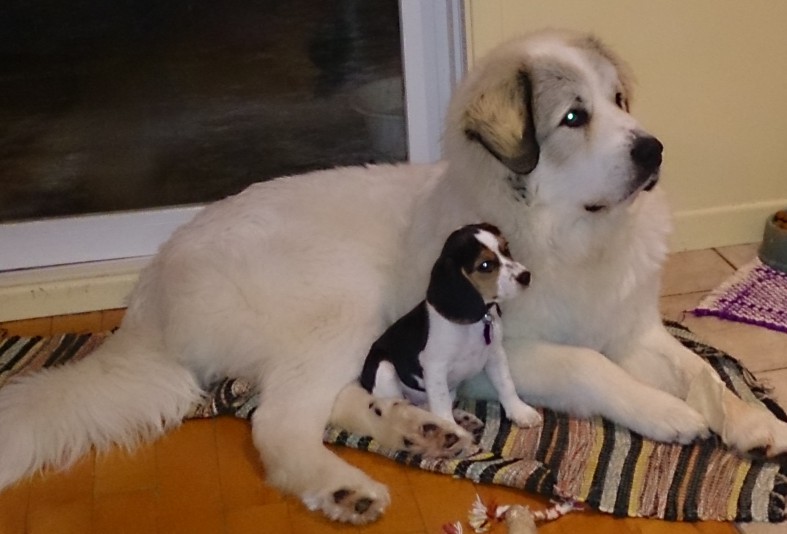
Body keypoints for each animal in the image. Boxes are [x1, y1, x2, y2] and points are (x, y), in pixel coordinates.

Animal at [362, 222, 540, 436]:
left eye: (506, 248)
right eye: (485, 265)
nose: (526, 276)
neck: (477, 321)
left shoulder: (496, 355)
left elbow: (506, 384)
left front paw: (520, 411)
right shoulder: (435, 367)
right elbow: (441, 406)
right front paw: (453, 433)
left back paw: (464, 419)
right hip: (385, 372)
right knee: (405, 411)